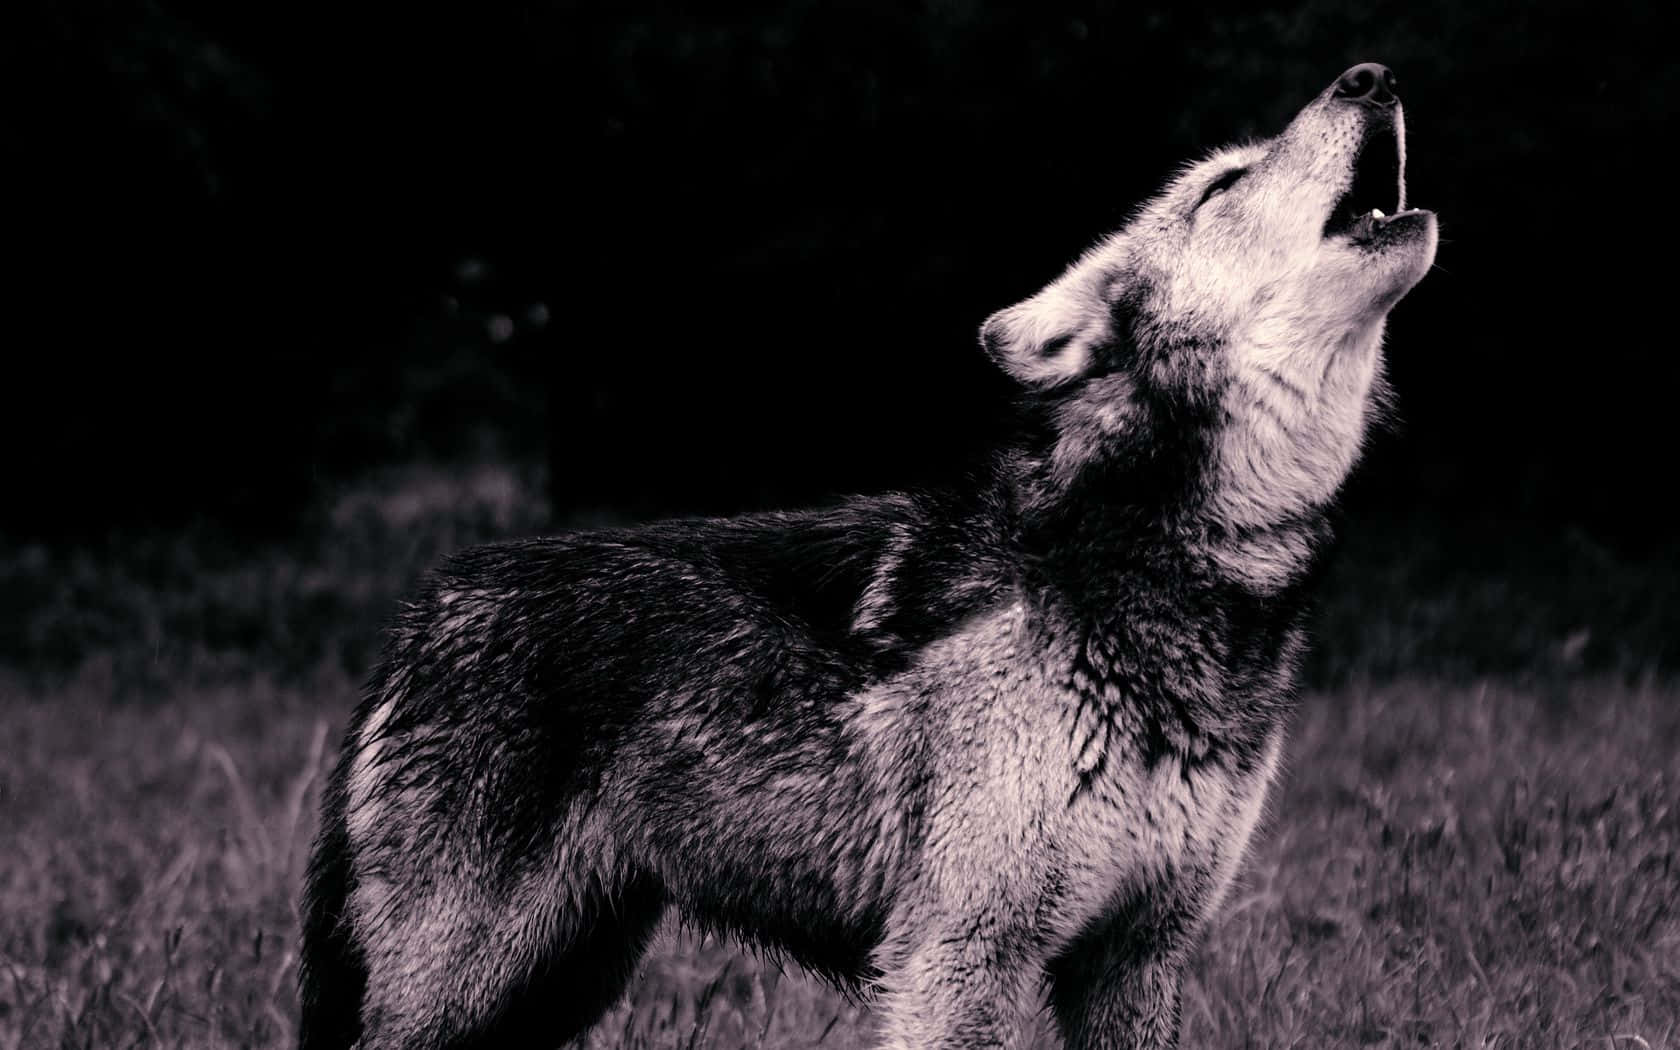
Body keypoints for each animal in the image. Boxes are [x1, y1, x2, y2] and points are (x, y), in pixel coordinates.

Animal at [299, 63, 1431, 1048]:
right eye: (1223, 185)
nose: (1372, 76)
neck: (1184, 571)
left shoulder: (1136, 958)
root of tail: (428, 610)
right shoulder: (958, 960)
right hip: (464, 988)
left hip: (560, 981)